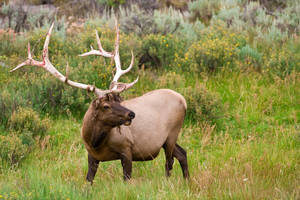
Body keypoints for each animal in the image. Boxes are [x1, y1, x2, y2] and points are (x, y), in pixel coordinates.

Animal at [11, 20, 191, 183]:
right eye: (106, 105)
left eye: (120, 100)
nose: (131, 114)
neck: (95, 141)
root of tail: (183, 100)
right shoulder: (92, 156)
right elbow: (88, 180)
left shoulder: (127, 149)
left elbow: (127, 179)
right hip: (167, 140)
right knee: (182, 153)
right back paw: (187, 181)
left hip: (172, 134)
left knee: (169, 162)